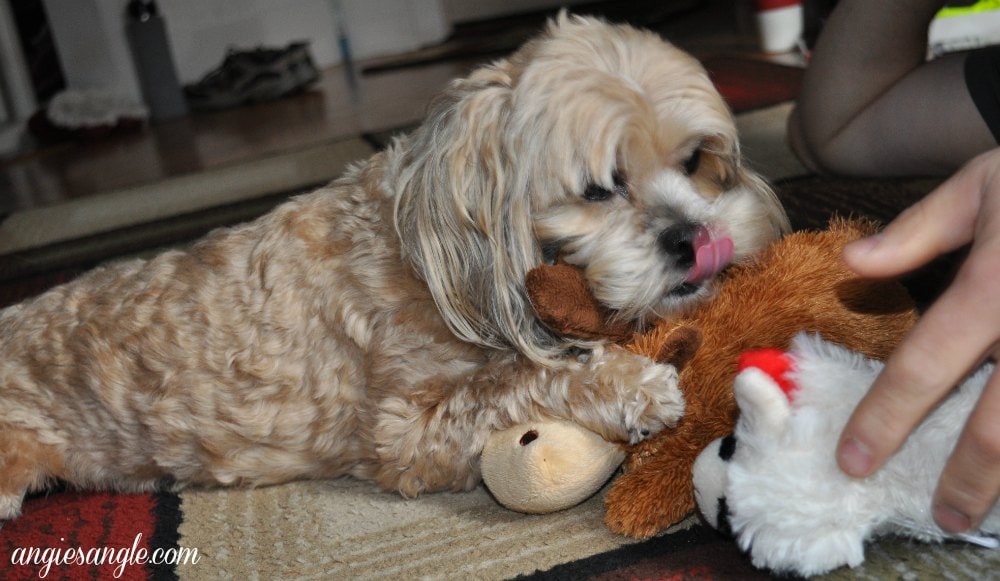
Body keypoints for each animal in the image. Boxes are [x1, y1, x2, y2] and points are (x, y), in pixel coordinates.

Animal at [0, 13, 788, 520]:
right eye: (600, 187)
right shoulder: (405, 433)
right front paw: (630, 384)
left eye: (695, 160)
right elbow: (514, 381)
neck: (424, 250)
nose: (696, 239)